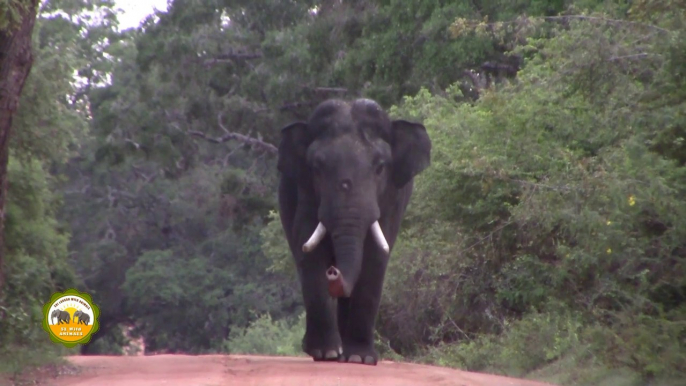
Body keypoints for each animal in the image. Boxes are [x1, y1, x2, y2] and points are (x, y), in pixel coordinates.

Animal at [276, 97, 432, 364]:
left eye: (380, 168)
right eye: (316, 168)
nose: (333, 271)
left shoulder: (391, 199)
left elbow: (375, 258)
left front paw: (360, 359)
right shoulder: (306, 192)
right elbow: (309, 249)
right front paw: (325, 353)